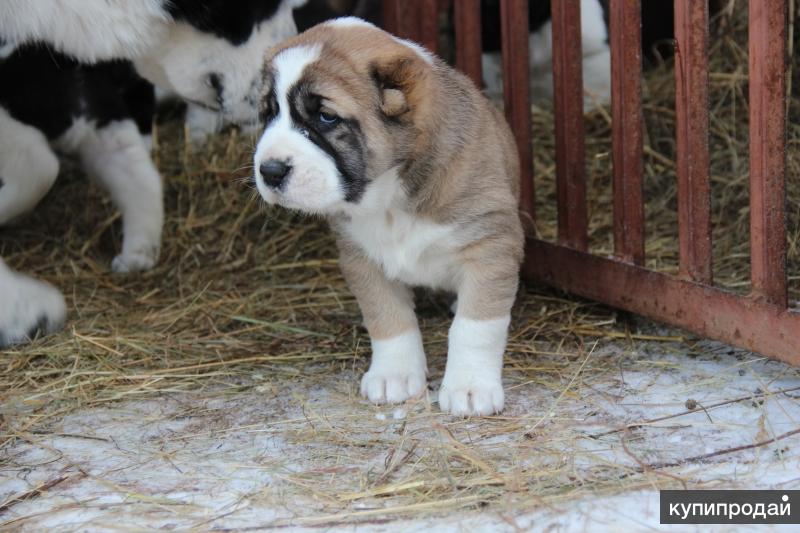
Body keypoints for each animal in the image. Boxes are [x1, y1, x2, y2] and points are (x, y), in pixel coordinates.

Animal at [253, 17, 520, 416]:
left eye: (326, 117)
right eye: (269, 113)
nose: (269, 171)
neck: (391, 197)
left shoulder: (490, 245)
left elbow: (475, 327)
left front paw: (470, 387)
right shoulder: (361, 258)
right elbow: (388, 319)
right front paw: (394, 376)